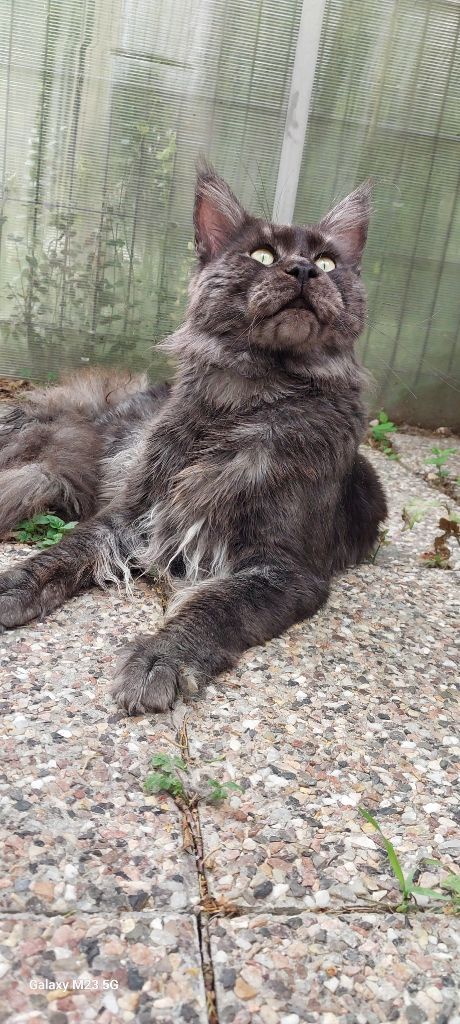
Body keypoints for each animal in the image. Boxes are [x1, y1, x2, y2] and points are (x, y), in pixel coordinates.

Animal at [0, 165, 387, 712]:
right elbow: (61, 554)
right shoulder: (128, 515)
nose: (304, 271)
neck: (250, 399)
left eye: (328, 262)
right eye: (262, 255)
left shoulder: (283, 569)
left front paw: (160, 658)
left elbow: (215, 606)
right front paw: (13, 583)